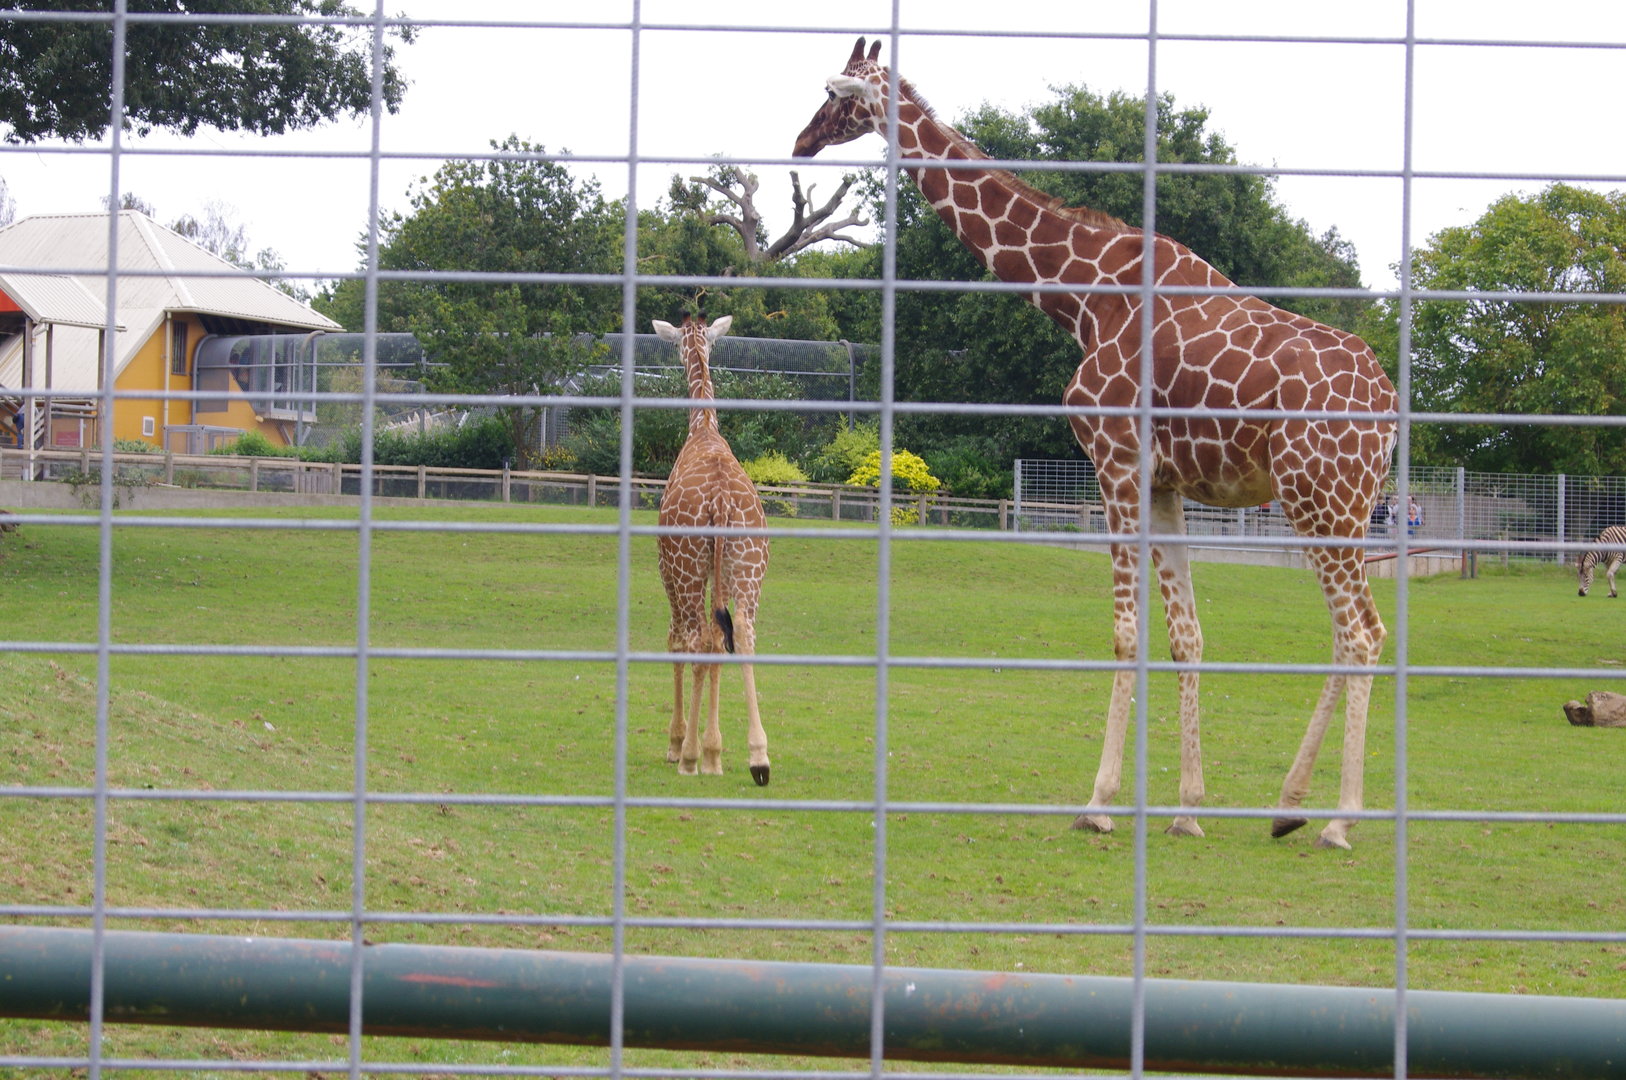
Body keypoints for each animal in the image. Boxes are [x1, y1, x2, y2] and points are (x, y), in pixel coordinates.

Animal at [653, 315, 771, 786]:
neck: (702, 426)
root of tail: (720, 500)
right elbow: (723, 642)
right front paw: (714, 752)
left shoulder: (667, 568)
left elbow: (677, 641)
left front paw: (681, 746)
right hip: (749, 567)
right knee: (743, 634)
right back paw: (758, 758)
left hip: (685, 568)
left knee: (695, 635)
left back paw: (687, 756)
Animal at [793, 39, 1397, 848]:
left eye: (837, 93)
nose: (802, 140)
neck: (1081, 295)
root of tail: (1388, 407)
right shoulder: (1165, 482)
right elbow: (1186, 635)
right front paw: (1187, 809)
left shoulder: (1114, 461)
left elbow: (1125, 633)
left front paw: (1100, 801)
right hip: (1345, 505)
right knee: (1352, 631)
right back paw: (1287, 807)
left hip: (1318, 496)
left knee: (1361, 633)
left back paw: (1336, 820)